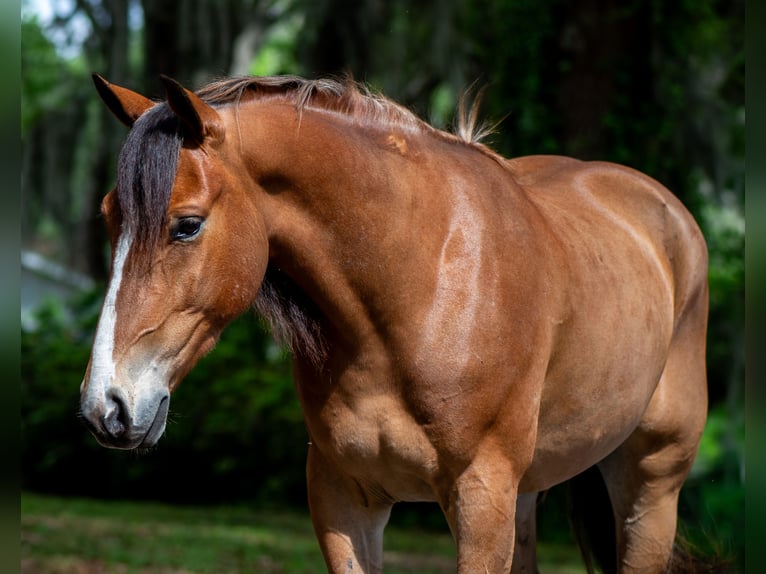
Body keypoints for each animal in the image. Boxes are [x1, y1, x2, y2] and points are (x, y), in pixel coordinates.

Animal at [79, 73, 709, 574]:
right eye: (110, 216)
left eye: (186, 225)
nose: (104, 407)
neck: (417, 291)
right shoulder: (343, 500)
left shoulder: (481, 501)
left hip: (651, 488)